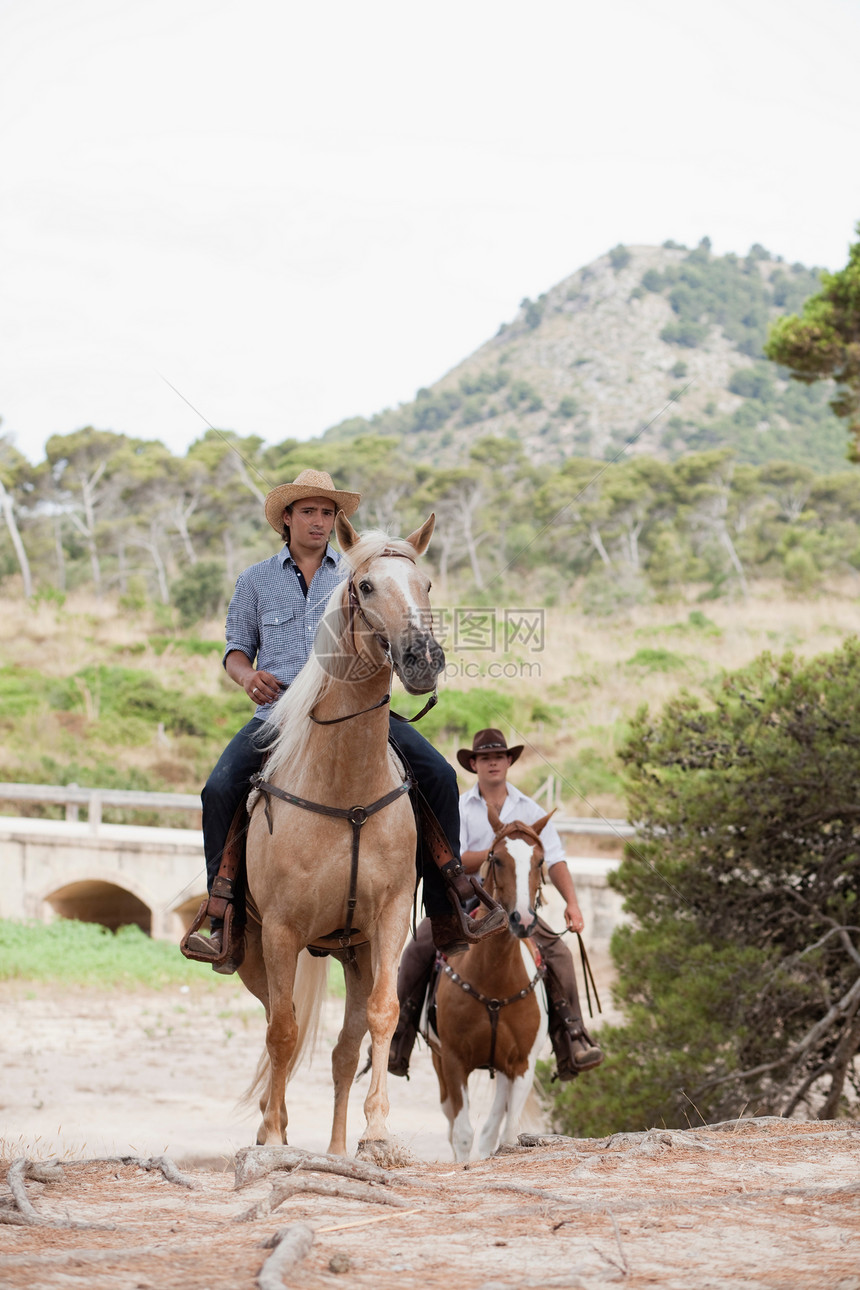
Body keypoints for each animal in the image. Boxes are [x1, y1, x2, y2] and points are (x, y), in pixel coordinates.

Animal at [241, 510, 443, 1161]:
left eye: (425, 584)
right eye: (366, 587)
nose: (423, 658)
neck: (344, 788)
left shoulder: (387, 920)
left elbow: (383, 1016)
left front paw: (376, 1133)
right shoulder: (280, 930)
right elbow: (283, 1031)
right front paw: (272, 1136)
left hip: (352, 952)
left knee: (342, 1050)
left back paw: (333, 1150)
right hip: (256, 955)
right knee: (276, 1026)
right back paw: (271, 1125)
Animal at [428, 804, 551, 1161]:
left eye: (540, 860)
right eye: (496, 858)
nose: (522, 919)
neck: (494, 977)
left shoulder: (522, 1066)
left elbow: (508, 1134)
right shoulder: (453, 1061)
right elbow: (462, 1133)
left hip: (505, 1071)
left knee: (493, 1127)